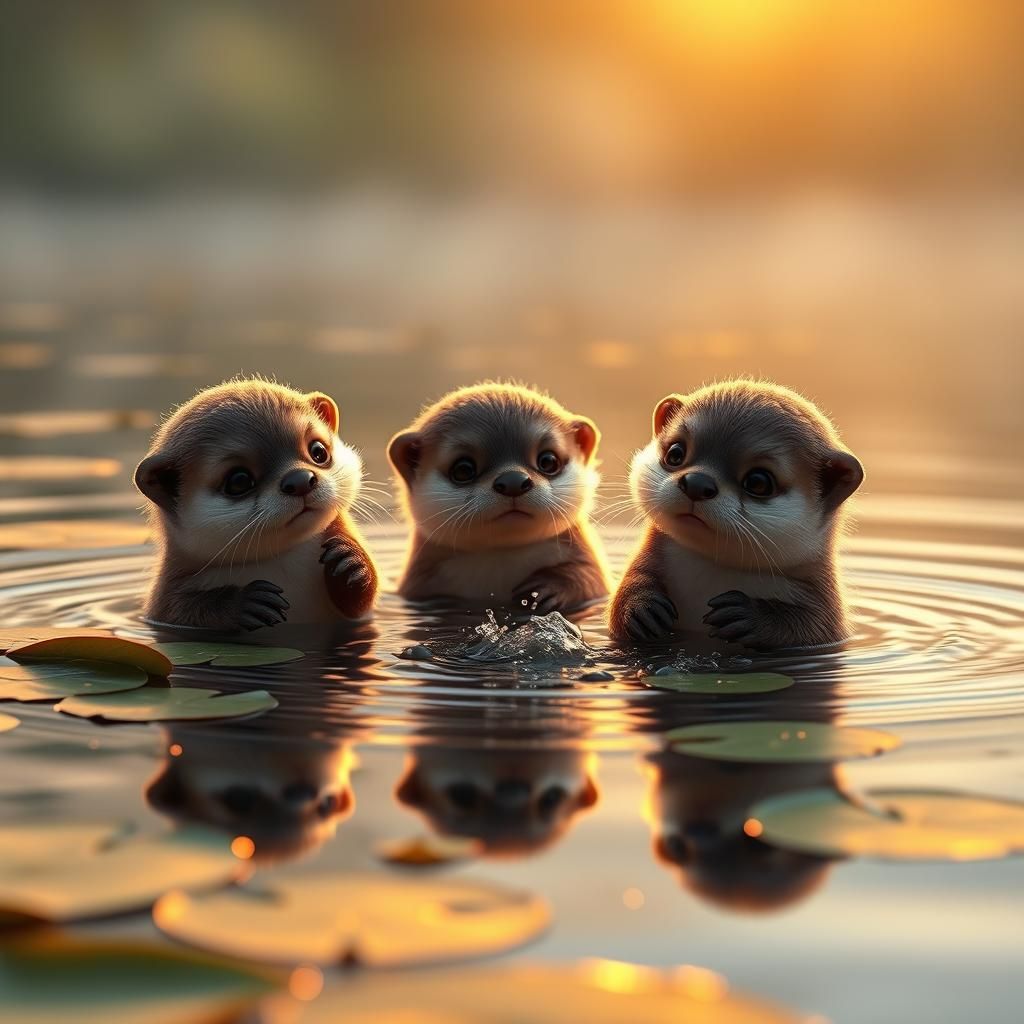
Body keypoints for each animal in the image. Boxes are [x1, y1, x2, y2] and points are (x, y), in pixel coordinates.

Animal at [135, 378, 377, 631]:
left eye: (318, 451)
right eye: (239, 480)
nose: (300, 480)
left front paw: (353, 562)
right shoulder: (164, 601)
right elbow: (181, 610)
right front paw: (242, 603)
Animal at [610, 380, 863, 649]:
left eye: (758, 481)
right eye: (675, 453)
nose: (696, 483)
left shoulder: (826, 613)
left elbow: (810, 626)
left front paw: (752, 616)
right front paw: (639, 605)